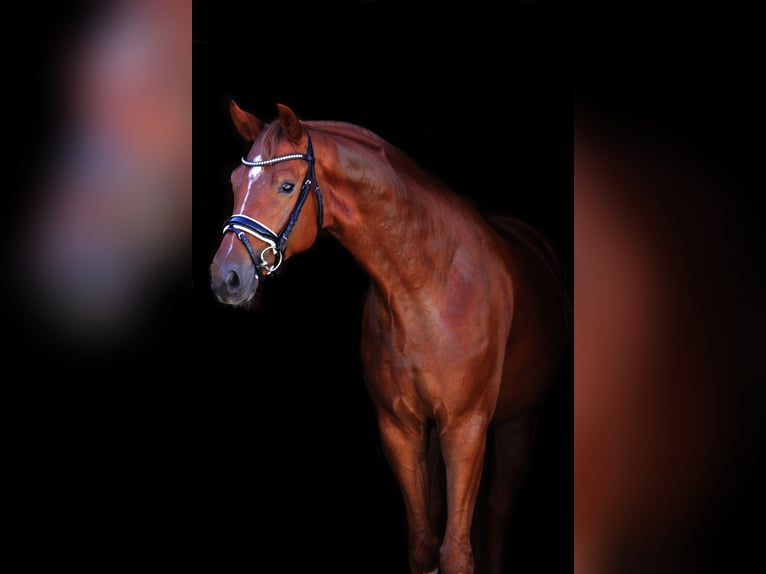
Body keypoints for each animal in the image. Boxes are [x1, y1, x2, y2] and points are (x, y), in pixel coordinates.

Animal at [210, 103, 568, 574]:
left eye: (286, 185)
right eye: (235, 182)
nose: (226, 277)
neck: (425, 287)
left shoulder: (466, 428)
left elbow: (457, 552)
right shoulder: (400, 429)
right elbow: (423, 544)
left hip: (516, 421)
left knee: (497, 510)